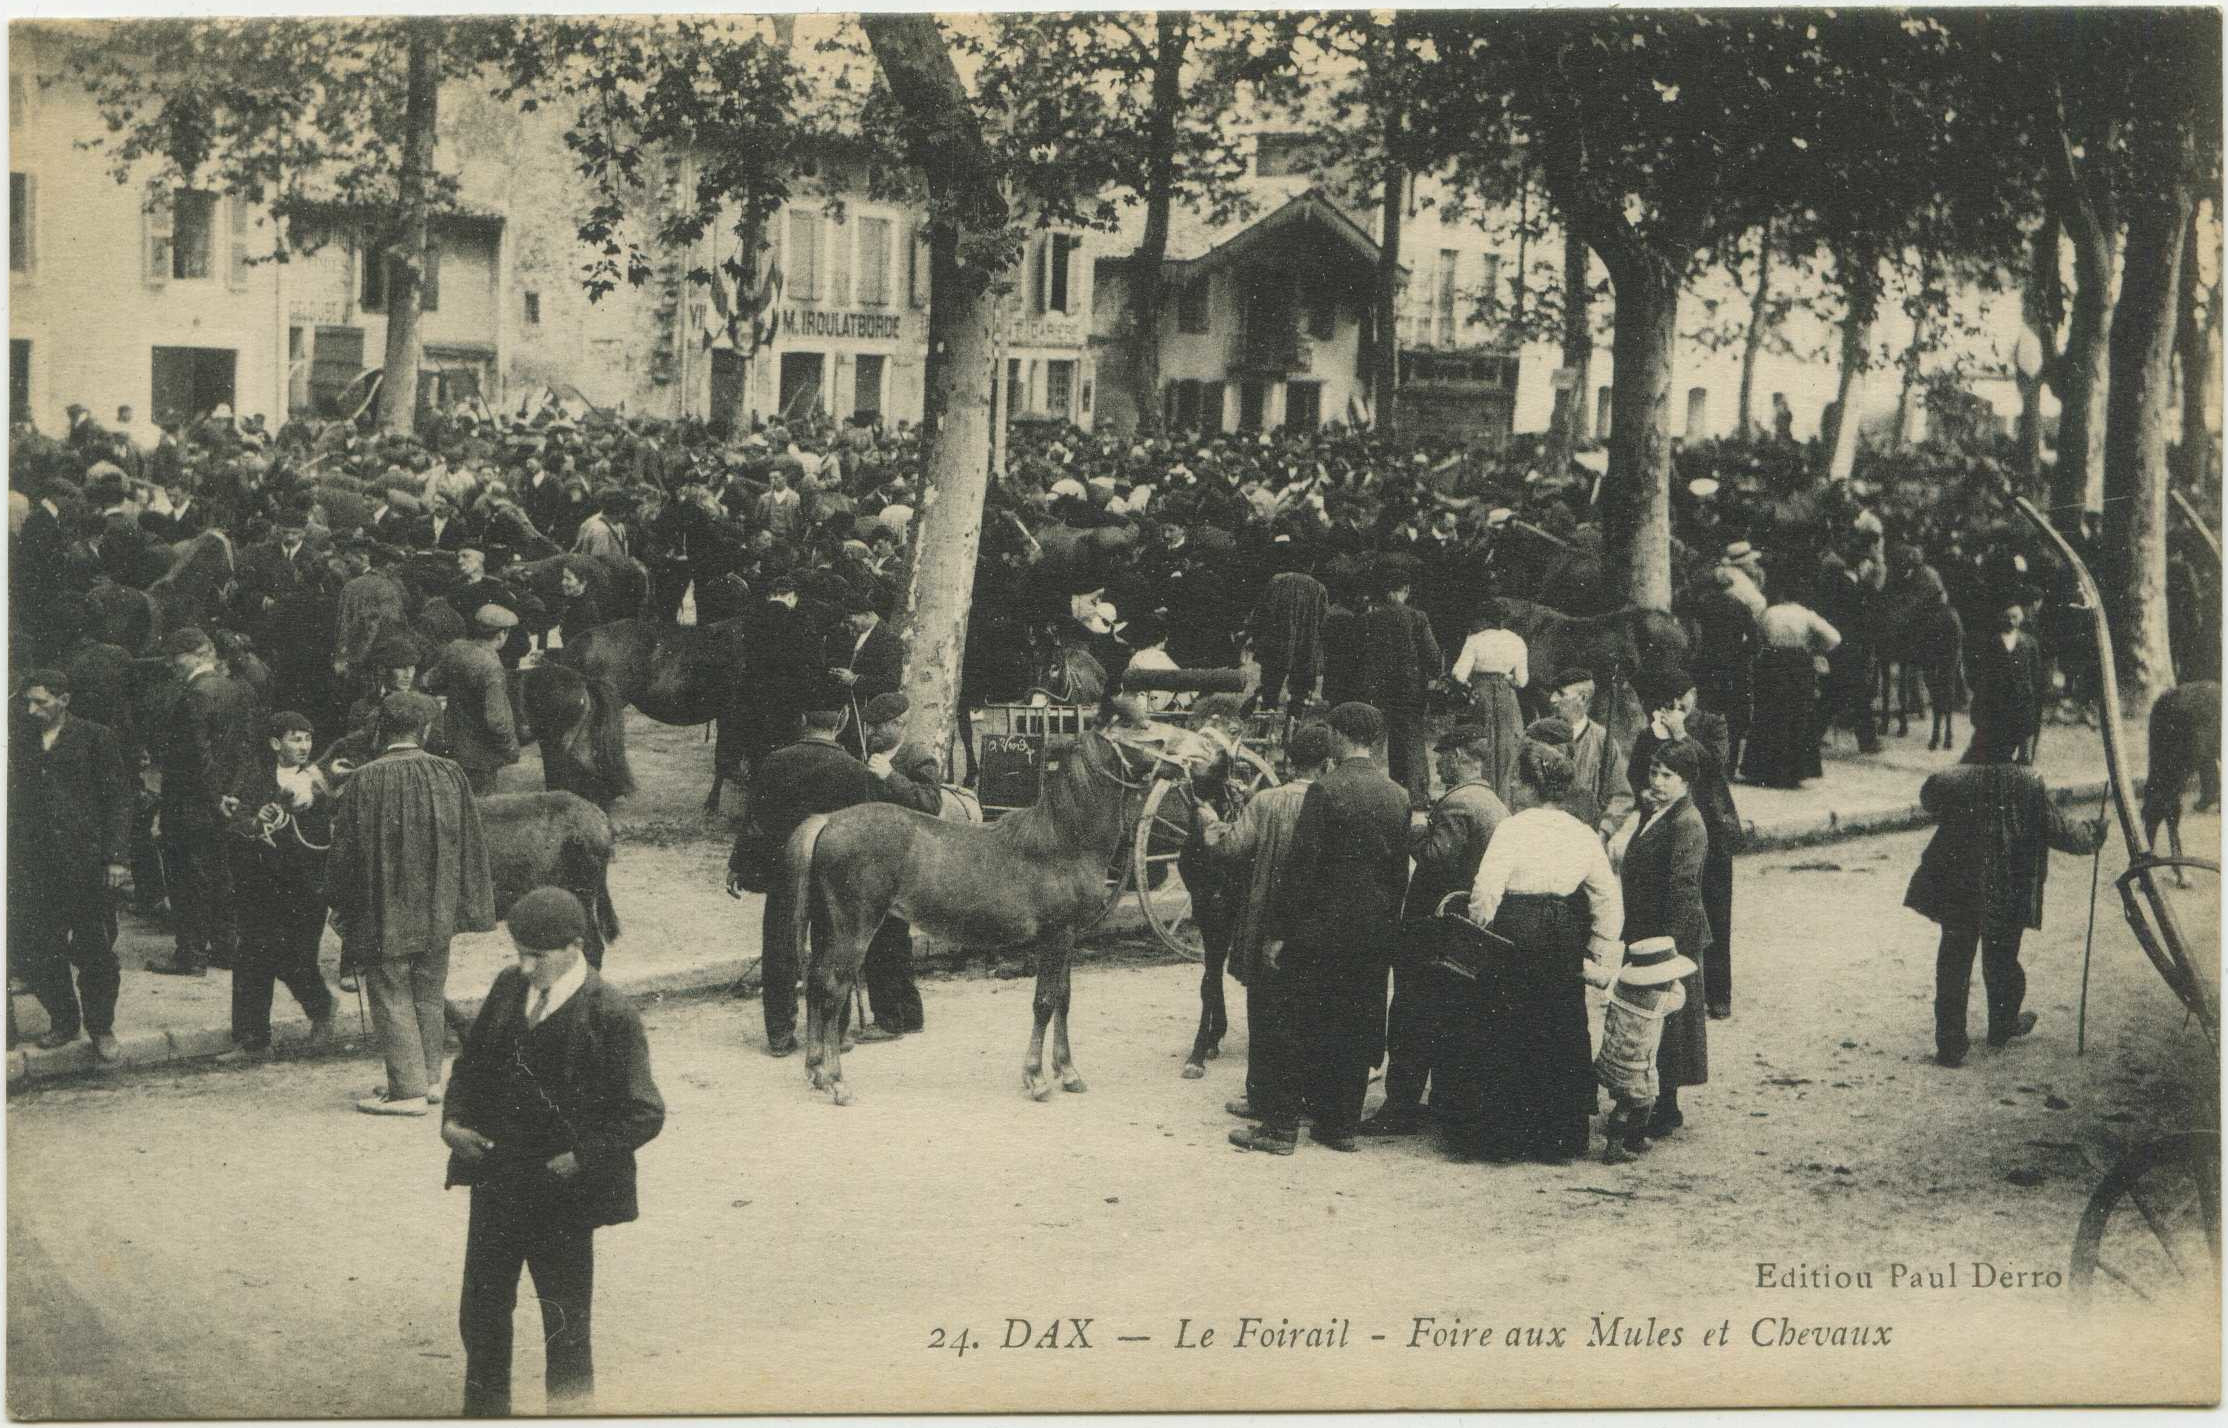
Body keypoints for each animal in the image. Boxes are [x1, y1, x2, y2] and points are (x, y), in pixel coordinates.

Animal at [779, 717, 1220, 1109]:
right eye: (1144, 728)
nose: (1207, 748)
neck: (1062, 840)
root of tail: (828, 821)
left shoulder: (1069, 938)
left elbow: (1064, 999)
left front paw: (1068, 1072)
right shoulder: (1055, 936)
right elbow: (1044, 1001)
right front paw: (1037, 1079)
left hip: (828, 926)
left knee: (816, 982)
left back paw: (816, 1071)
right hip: (854, 928)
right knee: (833, 989)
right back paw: (837, 1082)